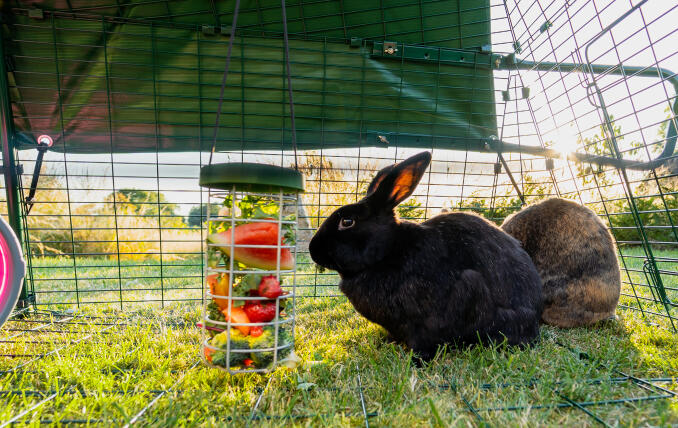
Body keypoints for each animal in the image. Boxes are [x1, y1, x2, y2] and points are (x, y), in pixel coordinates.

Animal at [308, 152, 543, 360]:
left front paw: (416, 361)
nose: (312, 250)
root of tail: (534, 318)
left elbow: (424, 342)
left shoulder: (425, 323)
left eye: (347, 222)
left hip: (473, 288)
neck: (388, 251)